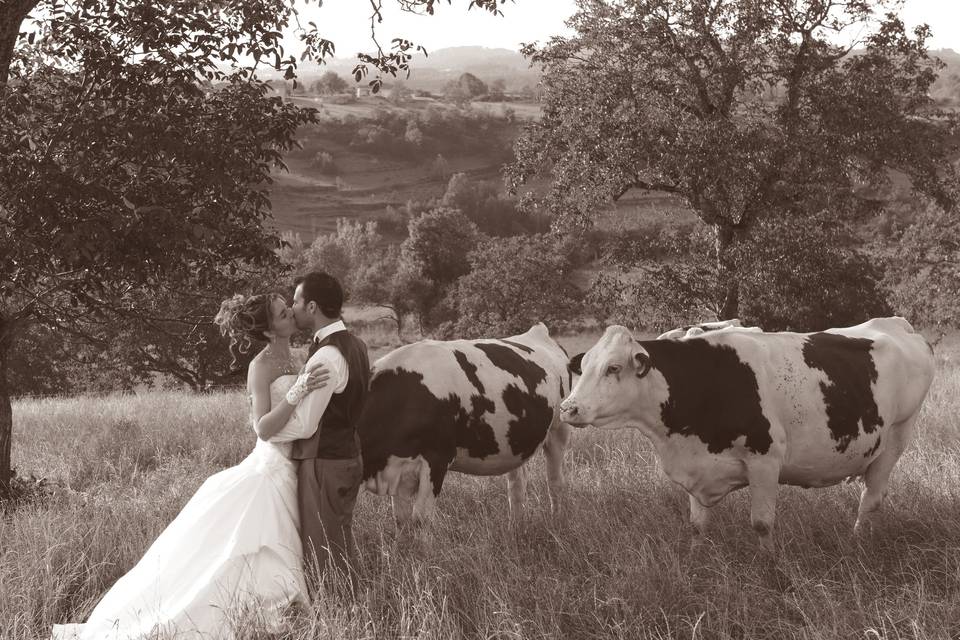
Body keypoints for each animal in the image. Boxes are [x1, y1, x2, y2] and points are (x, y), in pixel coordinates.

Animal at [358, 322, 568, 524]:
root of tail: (538, 331)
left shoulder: (437, 459)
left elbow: (420, 518)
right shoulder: (398, 470)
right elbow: (401, 521)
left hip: (558, 431)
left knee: (555, 481)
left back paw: (557, 520)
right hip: (516, 442)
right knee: (517, 484)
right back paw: (517, 525)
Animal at [564, 318, 936, 548]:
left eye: (613, 368)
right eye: (583, 367)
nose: (569, 408)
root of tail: (895, 323)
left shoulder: (765, 461)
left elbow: (762, 524)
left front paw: (769, 564)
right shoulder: (695, 463)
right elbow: (697, 525)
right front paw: (697, 559)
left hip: (896, 438)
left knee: (871, 499)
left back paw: (856, 542)